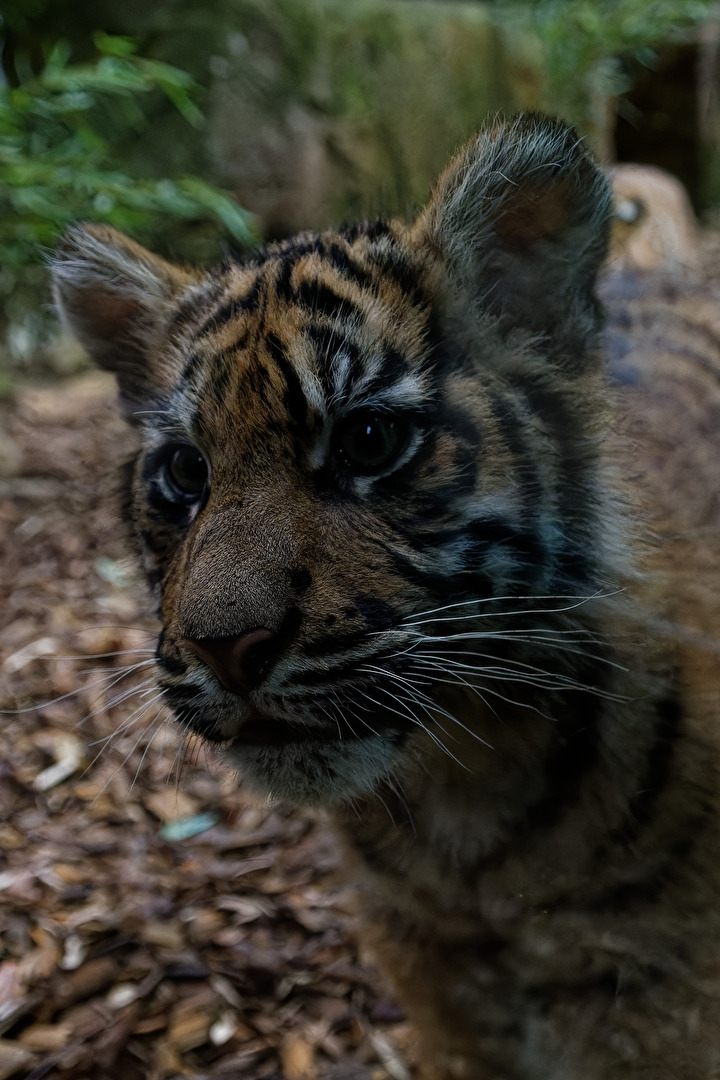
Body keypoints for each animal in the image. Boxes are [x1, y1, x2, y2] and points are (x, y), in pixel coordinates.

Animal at [51, 113, 720, 1079]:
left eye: (368, 440)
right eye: (184, 472)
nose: (225, 649)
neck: (466, 816)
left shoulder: (656, 1004)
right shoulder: (436, 979)